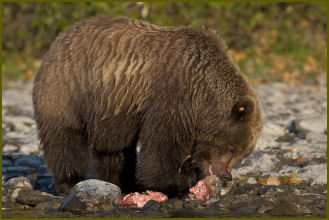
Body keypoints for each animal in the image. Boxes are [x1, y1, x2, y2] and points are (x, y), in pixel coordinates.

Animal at [31, 16, 262, 196]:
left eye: (243, 154)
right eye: (232, 148)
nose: (226, 176)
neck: (202, 93)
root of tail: (60, 38)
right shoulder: (172, 95)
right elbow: (164, 145)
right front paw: (175, 185)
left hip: (112, 109)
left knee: (115, 149)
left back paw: (120, 181)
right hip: (67, 90)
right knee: (65, 137)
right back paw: (70, 181)